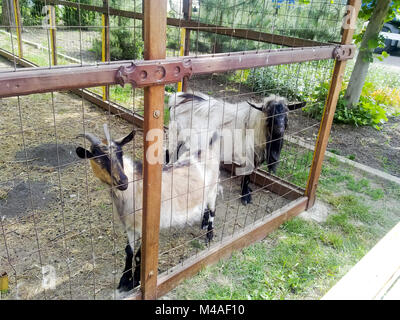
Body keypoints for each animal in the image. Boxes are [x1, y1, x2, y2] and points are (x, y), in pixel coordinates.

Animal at [75, 124, 222, 292]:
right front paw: (124, 280)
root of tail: (207, 150)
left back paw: (209, 235)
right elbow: (129, 251)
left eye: (120, 153)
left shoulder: (146, 225)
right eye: (98, 159)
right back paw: (203, 224)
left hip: (212, 190)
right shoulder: (130, 226)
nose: (123, 181)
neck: (135, 187)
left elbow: (140, 255)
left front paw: (135, 282)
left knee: (213, 210)